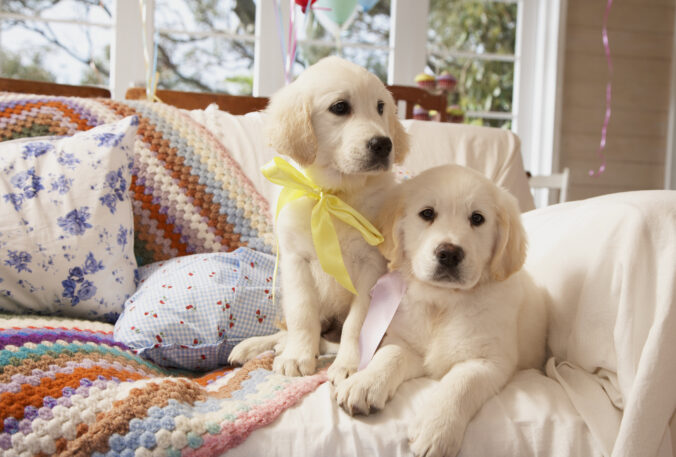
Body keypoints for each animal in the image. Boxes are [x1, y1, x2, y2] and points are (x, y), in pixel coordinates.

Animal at [227, 57, 410, 384]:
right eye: (340, 107)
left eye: (380, 107)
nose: (384, 144)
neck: (333, 194)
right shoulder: (295, 261)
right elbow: (302, 315)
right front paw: (298, 356)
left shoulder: (371, 266)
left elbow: (356, 323)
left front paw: (349, 363)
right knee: (286, 330)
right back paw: (257, 346)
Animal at [336, 164, 548, 456]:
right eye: (427, 213)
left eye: (477, 218)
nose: (449, 253)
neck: (442, 301)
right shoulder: (407, 344)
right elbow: (388, 356)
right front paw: (365, 382)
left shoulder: (489, 361)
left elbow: (460, 385)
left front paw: (436, 428)